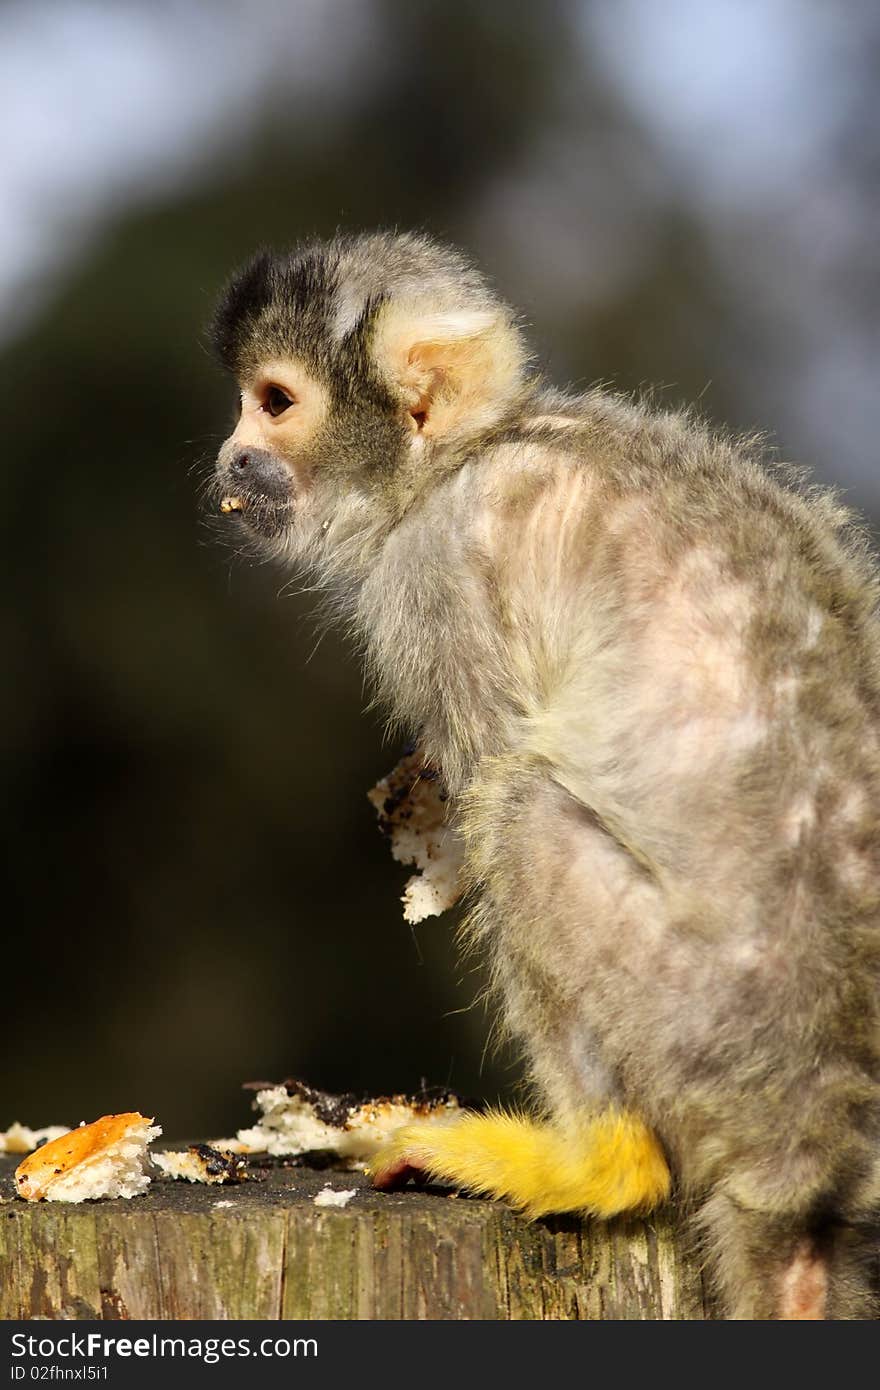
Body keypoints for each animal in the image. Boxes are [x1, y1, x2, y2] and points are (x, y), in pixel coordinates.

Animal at [211, 233, 878, 1317]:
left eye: (273, 401)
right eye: (244, 402)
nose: (229, 456)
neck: (467, 454)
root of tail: (814, 1146)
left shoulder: (436, 568)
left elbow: (491, 765)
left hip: (706, 1037)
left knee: (522, 805)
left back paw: (603, 1163)